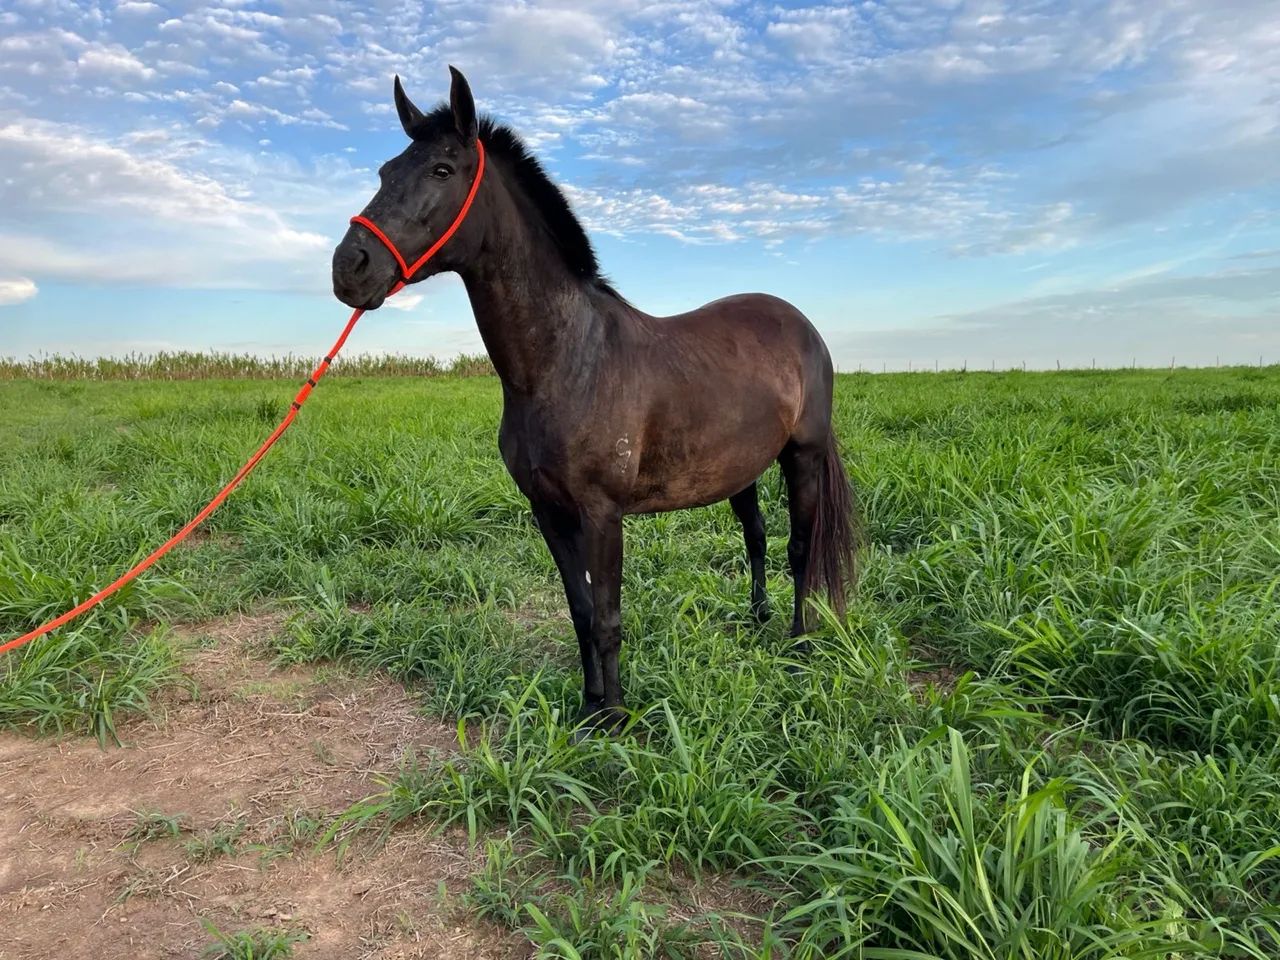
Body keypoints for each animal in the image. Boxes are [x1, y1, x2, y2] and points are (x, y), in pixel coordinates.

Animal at [332, 67, 859, 732]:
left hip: (803, 457)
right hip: (742, 469)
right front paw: (587, 709)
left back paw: (799, 642)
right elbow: (580, 611)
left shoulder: (602, 514)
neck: (566, 362)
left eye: (442, 170)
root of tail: (800, 324)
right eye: (384, 171)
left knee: (801, 548)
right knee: (758, 537)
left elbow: (608, 617)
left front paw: (617, 719)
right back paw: (758, 618)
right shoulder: (548, 511)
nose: (349, 267)